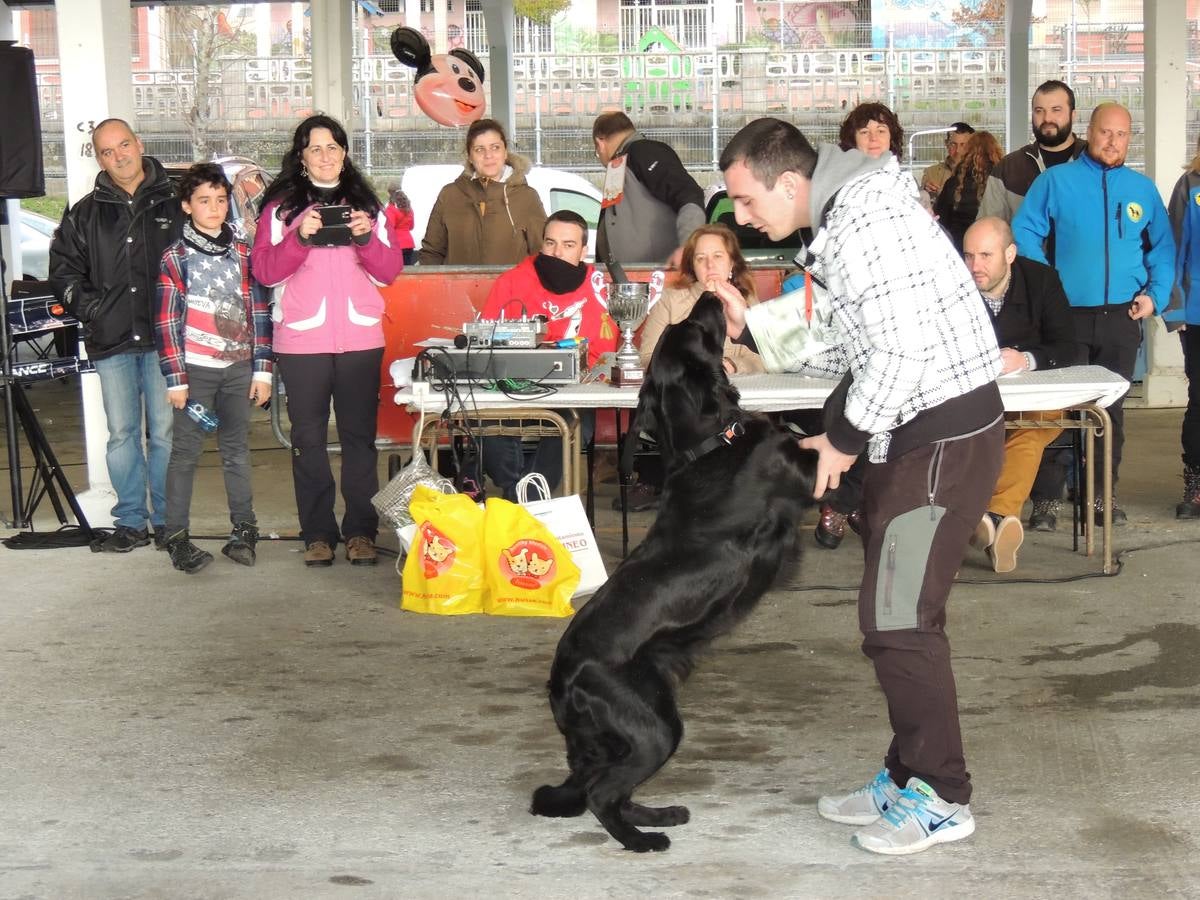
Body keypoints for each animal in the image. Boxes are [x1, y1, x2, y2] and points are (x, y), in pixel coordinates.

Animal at [532, 294, 820, 854]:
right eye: (694, 328)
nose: (711, 296)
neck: (710, 442)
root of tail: (561, 681)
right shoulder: (807, 472)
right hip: (654, 725)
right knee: (601, 793)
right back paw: (643, 840)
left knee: (606, 785)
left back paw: (659, 814)